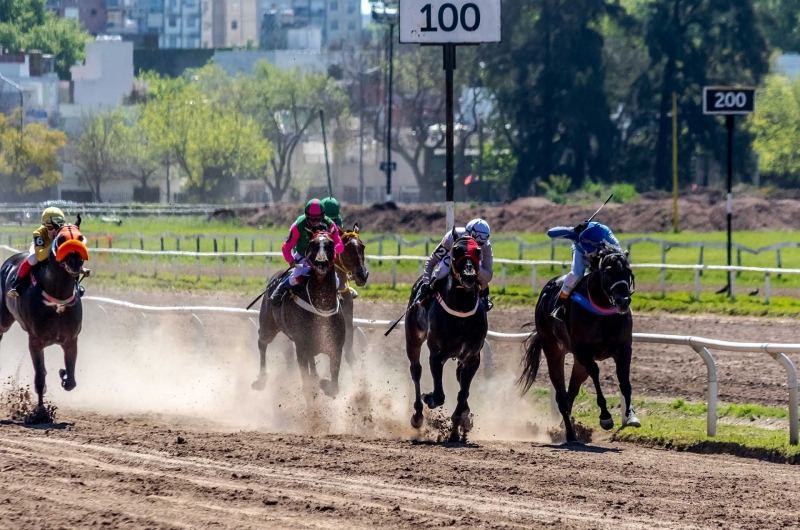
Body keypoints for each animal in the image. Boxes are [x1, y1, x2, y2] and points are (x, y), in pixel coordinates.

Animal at [0, 219, 88, 420]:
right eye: (61, 239)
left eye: (80, 238)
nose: (75, 262)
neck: (57, 299)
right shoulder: (35, 340)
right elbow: (40, 377)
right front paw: (40, 412)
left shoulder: (71, 340)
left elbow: (71, 380)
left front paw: (63, 374)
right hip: (3, 321)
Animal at [252, 230, 346, 396]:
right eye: (312, 244)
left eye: (331, 244)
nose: (321, 263)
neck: (321, 307)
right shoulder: (301, 347)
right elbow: (307, 387)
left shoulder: (336, 348)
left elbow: (333, 387)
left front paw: (323, 383)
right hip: (268, 326)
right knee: (262, 342)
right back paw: (261, 379)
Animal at [406, 229, 488, 440]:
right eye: (456, 250)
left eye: (478, 251)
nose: (469, 276)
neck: (460, 310)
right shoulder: (436, 355)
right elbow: (439, 395)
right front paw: (429, 398)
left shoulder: (472, 358)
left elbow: (463, 393)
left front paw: (457, 427)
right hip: (413, 339)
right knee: (416, 371)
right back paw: (418, 415)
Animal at [516, 243, 640, 442]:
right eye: (608, 271)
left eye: (628, 271)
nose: (623, 301)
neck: (602, 310)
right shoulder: (582, 350)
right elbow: (595, 373)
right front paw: (605, 417)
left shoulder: (623, 347)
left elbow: (624, 379)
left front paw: (630, 416)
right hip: (553, 351)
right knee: (561, 395)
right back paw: (570, 434)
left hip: (578, 362)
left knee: (571, 392)